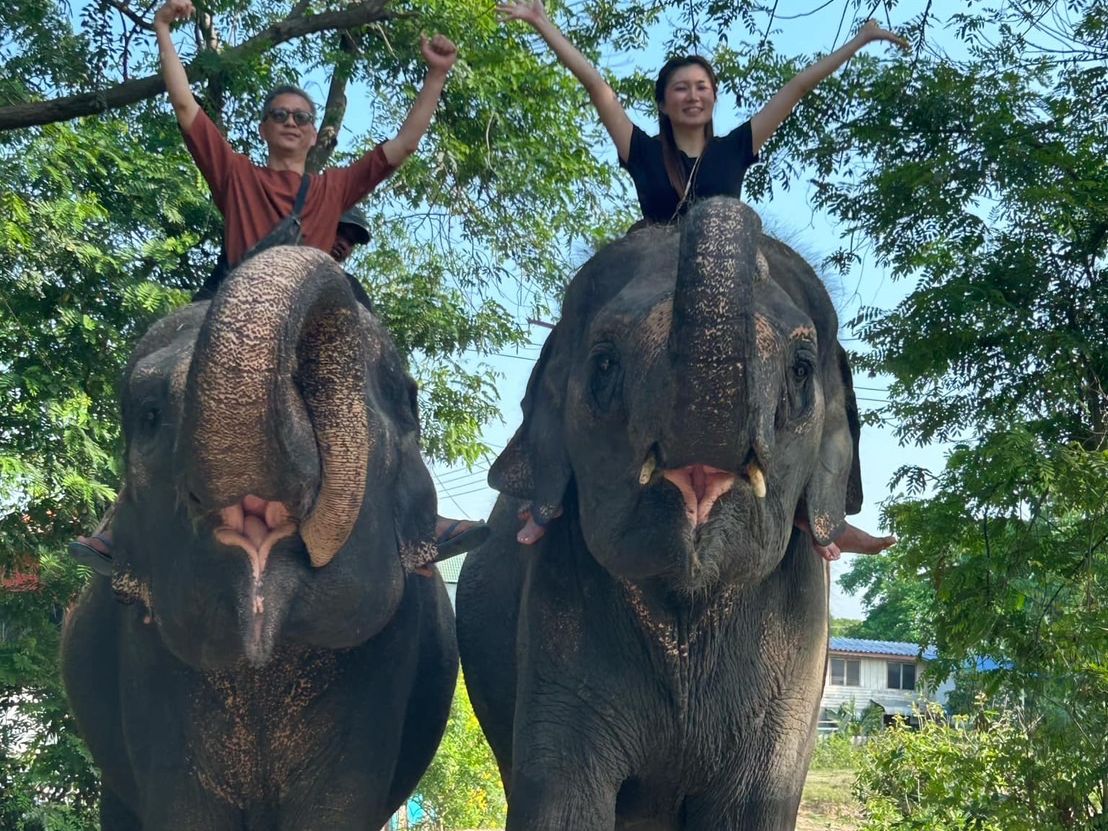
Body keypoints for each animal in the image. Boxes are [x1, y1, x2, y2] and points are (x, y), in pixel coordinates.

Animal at [457, 198, 863, 830]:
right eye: (603, 365)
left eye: (800, 368)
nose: (706, 199)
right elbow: (562, 802)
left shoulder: (798, 652)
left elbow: (753, 808)